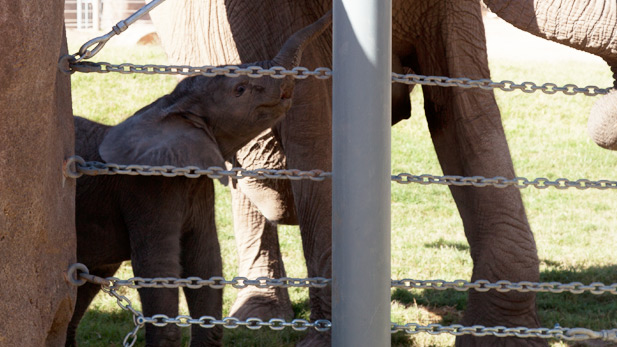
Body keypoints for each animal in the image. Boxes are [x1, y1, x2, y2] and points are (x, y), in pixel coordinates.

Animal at [67, 11, 332, 347]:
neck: (170, 108)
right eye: (240, 90)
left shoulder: (197, 185)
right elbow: (159, 268)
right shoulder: (148, 191)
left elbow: (205, 263)